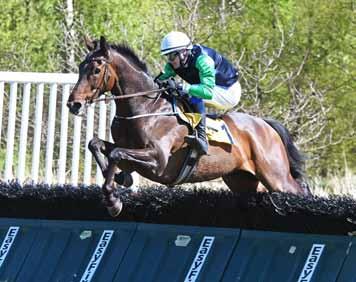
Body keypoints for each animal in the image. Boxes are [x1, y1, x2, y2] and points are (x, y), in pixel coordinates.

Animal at [67, 36, 312, 217]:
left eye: (96, 70)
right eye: (80, 67)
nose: (73, 104)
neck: (145, 107)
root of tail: (265, 125)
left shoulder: (158, 160)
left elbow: (116, 153)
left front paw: (113, 199)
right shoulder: (131, 152)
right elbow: (96, 144)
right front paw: (120, 179)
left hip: (276, 176)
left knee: (298, 190)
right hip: (242, 180)